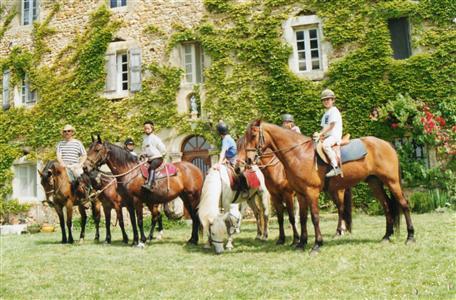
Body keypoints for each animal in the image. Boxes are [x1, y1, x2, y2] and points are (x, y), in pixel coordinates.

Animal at [242, 119, 416, 253]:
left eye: (253, 135)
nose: (248, 160)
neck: (299, 154)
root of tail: (387, 144)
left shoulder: (310, 193)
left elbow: (314, 217)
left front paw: (317, 244)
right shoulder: (300, 194)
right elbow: (302, 218)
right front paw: (301, 243)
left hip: (392, 182)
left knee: (404, 204)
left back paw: (410, 237)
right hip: (374, 183)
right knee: (386, 206)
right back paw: (386, 236)